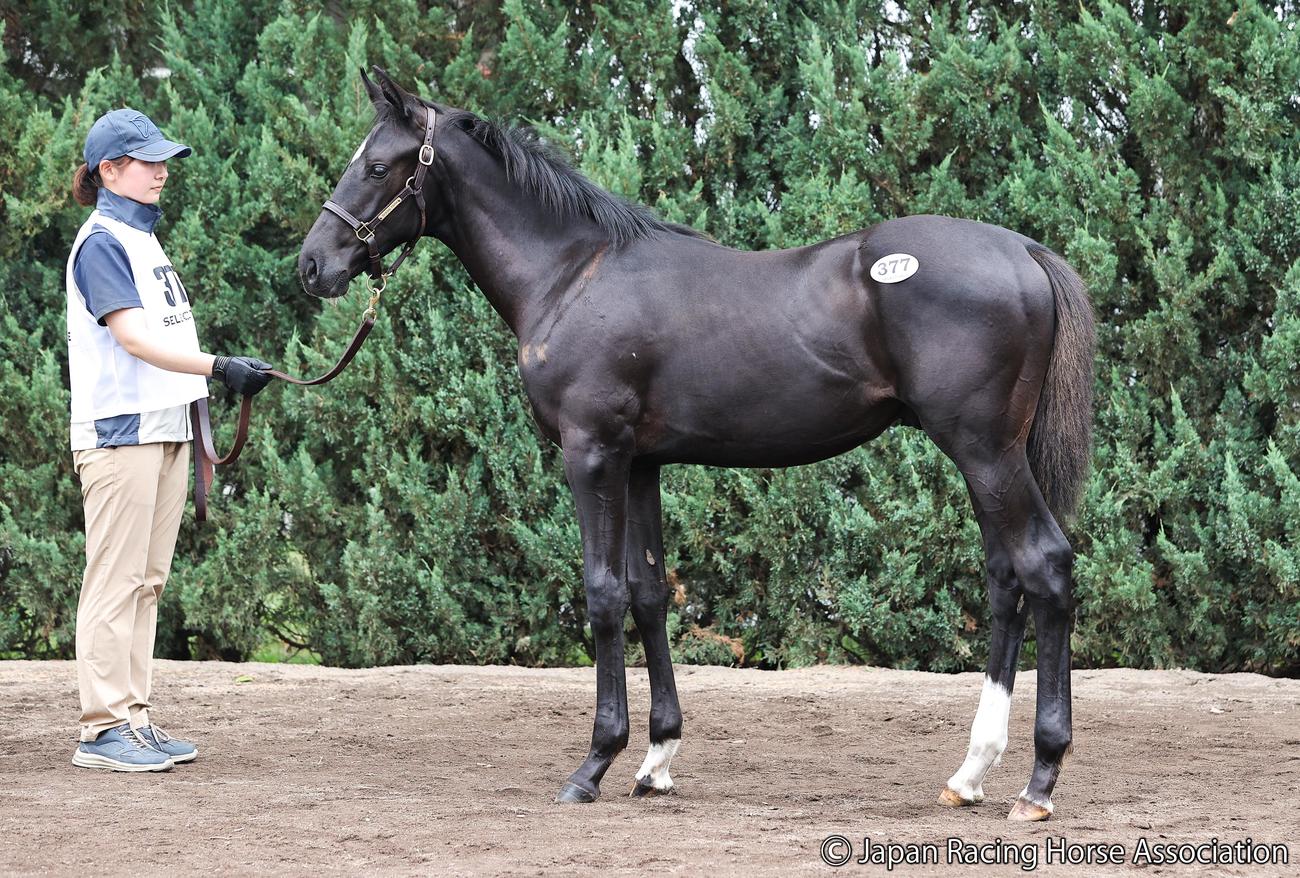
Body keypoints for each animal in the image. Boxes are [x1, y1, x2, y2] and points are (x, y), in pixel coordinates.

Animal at [297, 66, 1095, 822]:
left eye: (378, 166)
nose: (312, 266)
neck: (571, 276)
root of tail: (1023, 250)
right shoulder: (641, 463)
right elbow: (650, 593)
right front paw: (656, 760)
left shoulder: (592, 455)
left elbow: (604, 594)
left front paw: (594, 764)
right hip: (991, 455)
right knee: (1005, 579)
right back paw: (970, 775)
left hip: (983, 450)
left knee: (1044, 566)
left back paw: (1038, 782)